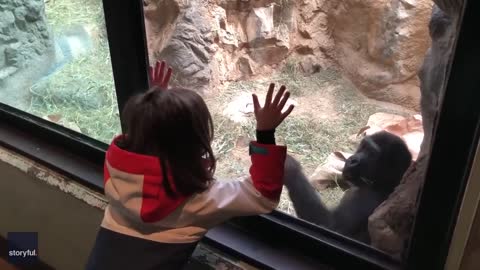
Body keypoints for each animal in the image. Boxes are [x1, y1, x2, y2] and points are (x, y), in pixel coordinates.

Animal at [284, 132, 412, 244]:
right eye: (364, 147)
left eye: (371, 153)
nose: (353, 160)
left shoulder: (366, 197)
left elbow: (330, 225)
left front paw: (291, 168)